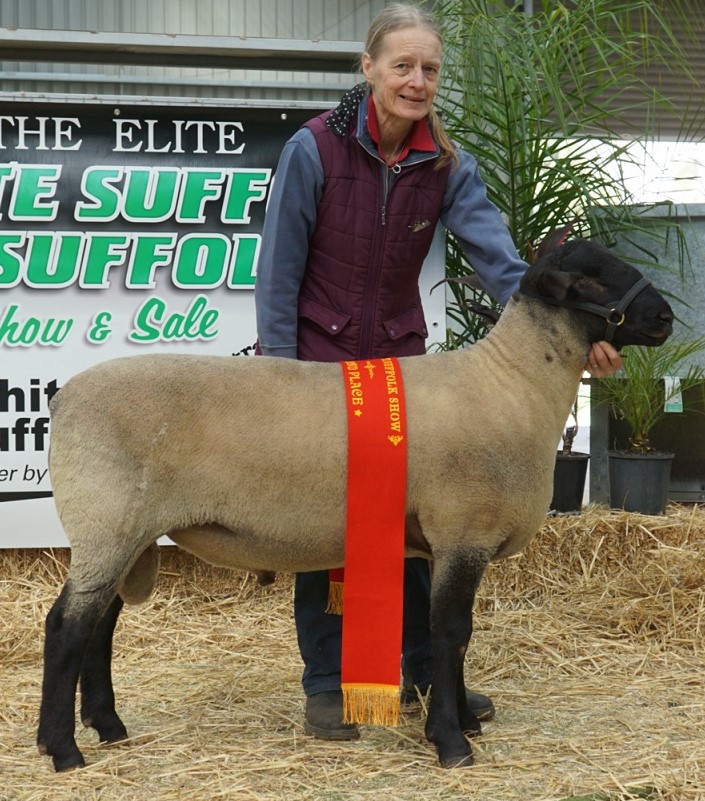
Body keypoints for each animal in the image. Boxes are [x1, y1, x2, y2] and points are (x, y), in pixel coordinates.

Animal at [37, 238, 672, 768]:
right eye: (588, 277)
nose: (666, 318)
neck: (510, 383)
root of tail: (62, 396)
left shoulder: (441, 543)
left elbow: (451, 638)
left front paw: (461, 720)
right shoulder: (461, 532)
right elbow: (452, 633)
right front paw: (452, 742)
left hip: (126, 530)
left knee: (99, 625)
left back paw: (108, 726)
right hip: (106, 520)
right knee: (67, 626)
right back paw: (63, 748)